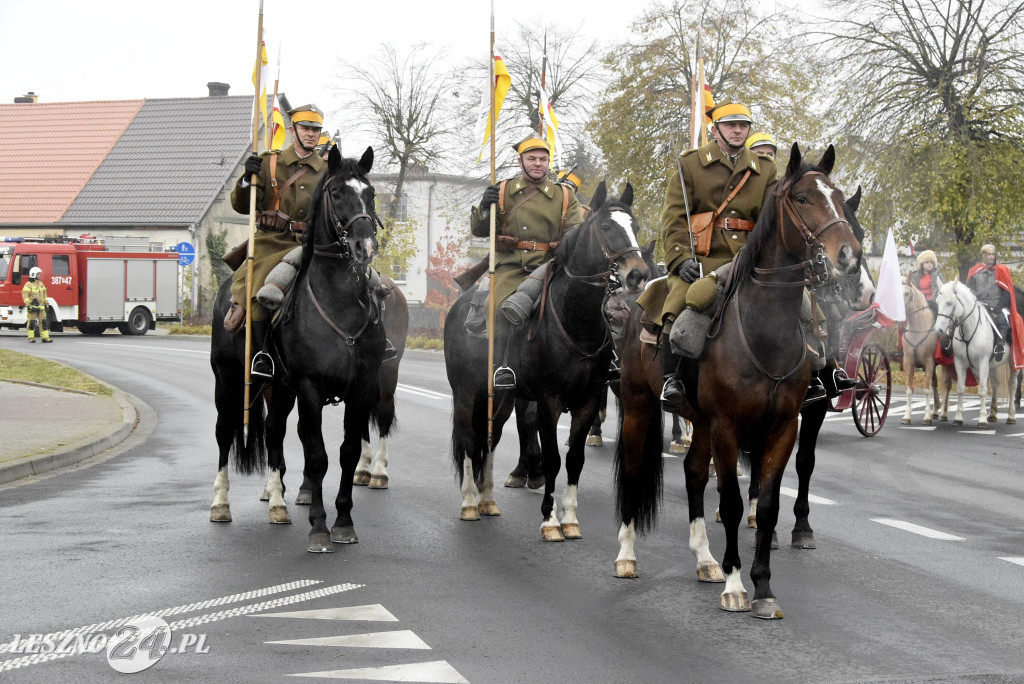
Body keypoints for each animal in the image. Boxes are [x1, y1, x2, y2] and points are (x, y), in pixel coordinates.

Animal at [207, 147, 387, 552]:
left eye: (370, 193)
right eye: (336, 193)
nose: (365, 247)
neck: (340, 302)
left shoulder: (360, 388)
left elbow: (349, 453)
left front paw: (344, 522)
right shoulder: (310, 387)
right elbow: (317, 456)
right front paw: (319, 527)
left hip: (279, 388)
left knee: (274, 432)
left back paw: (277, 503)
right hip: (228, 380)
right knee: (224, 433)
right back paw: (221, 503)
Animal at [444, 181, 651, 540]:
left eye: (635, 227)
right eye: (606, 227)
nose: (637, 274)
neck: (576, 321)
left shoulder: (587, 402)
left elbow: (575, 460)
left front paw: (570, 519)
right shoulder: (548, 402)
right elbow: (553, 459)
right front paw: (550, 520)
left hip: (501, 398)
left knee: (491, 439)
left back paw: (488, 500)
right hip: (467, 393)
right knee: (469, 441)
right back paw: (470, 502)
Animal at [614, 144, 864, 618]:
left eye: (840, 199)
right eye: (802, 198)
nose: (849, 257)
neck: (764, 328)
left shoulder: (782, 426)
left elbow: (766, 505)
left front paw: (763, 586)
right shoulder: (728, 425)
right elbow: (730, 501)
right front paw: (735, 585)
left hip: (701, 422)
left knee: (694, 472)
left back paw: (705, 559)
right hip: (639, 405)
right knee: (635, 470)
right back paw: (627, 555)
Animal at [937, 280, 1007, 423]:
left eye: (949, 303)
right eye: (937, 302)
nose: (939, 330)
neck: (969, 331)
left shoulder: (983, 363)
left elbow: (982, 390)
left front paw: (982, 420)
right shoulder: (960, 362)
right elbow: (960, 388)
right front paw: (958, 418)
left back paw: (1011, 417)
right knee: (996, 386)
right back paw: (992, 415)